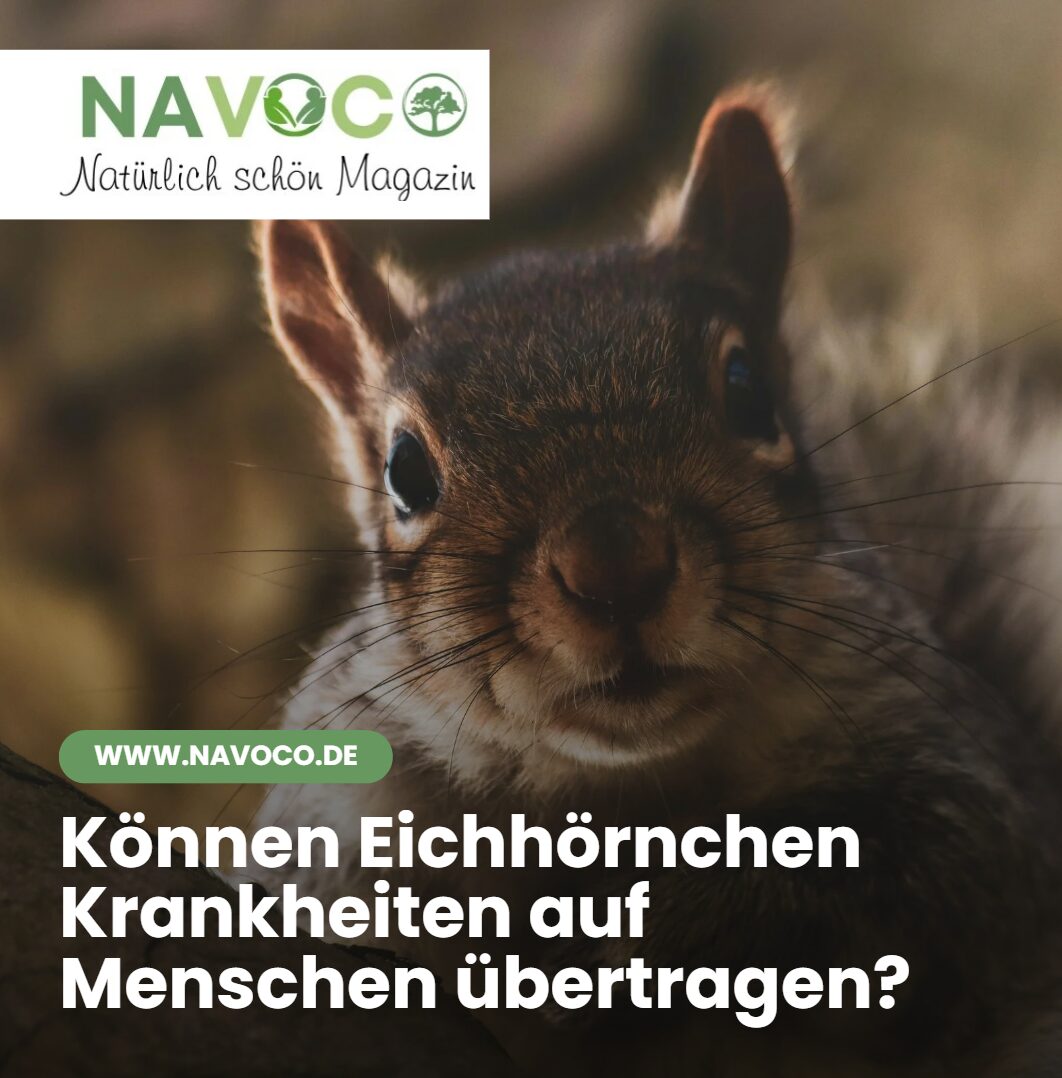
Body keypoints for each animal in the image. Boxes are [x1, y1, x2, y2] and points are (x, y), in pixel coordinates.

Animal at [251, 86, 1062, 1076]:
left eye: (749, 390)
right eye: (405, 472)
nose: (616, 569)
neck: (626, 792)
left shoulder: (972, 800)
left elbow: (918, 872)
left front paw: (641, 948)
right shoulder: (341, 818)